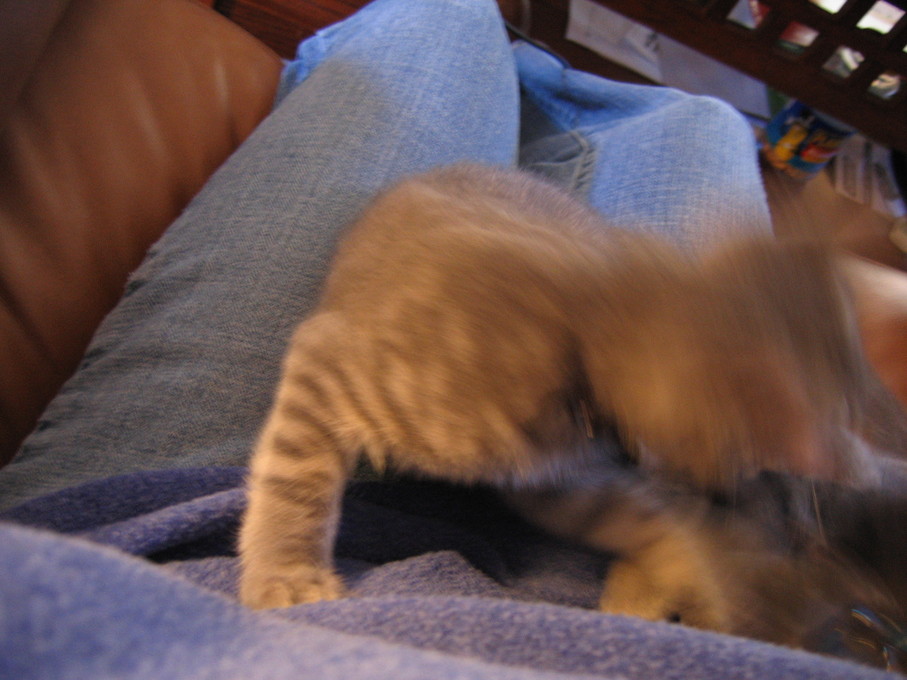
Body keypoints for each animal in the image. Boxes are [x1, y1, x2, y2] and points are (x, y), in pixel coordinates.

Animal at [238, 163, 883, 610]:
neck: (591, 315)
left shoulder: (556, 480)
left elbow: (645, 518)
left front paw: (696, 574)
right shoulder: (331, 361)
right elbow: (296, 480)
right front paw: (287, 573)